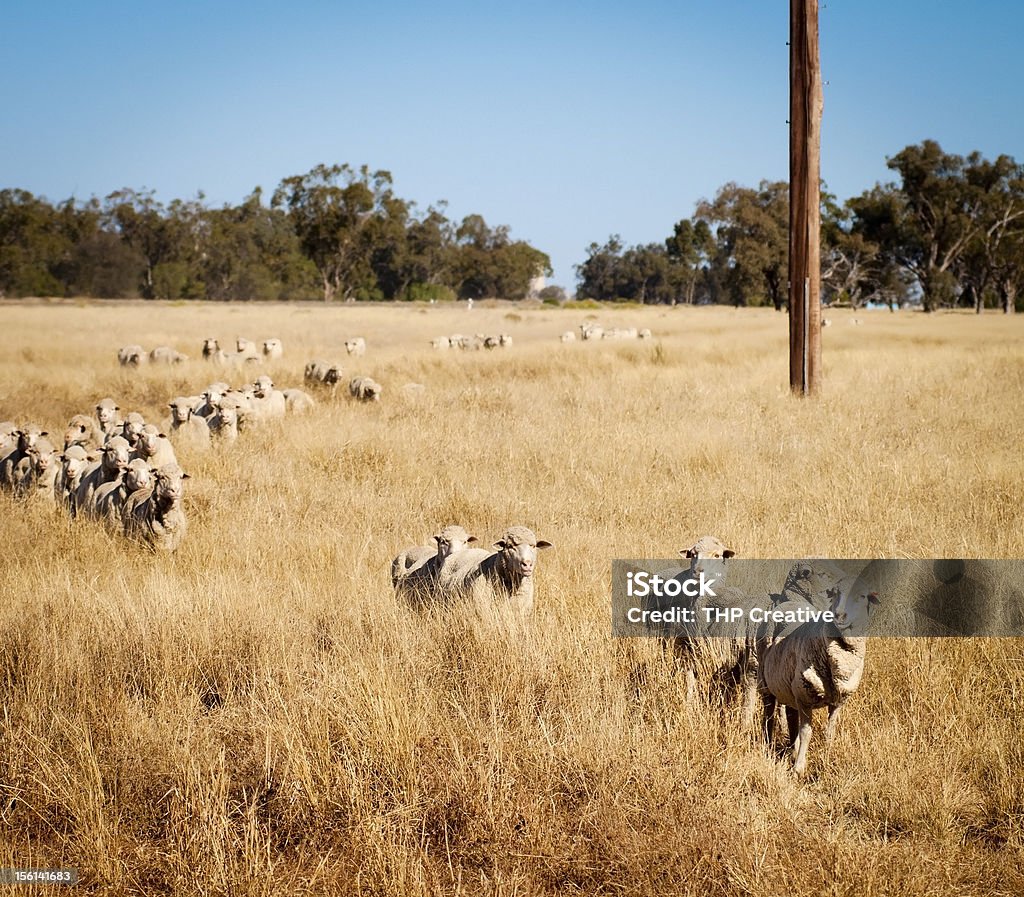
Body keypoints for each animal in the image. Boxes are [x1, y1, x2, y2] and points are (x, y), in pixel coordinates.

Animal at [761, 573, 880, 778]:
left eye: (862, 596)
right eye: (835, 593)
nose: (839, 614)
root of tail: (791, 601)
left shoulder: (838, 701)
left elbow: (829, 732)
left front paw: (826, 756)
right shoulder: (805, 699)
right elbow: (806, 733)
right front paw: (799, 768)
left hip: (790, 687)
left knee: (791, 716)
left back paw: (792, 750)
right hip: (769, 682)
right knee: (770, 714)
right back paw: (770, 743)